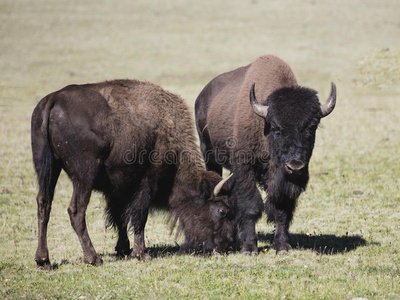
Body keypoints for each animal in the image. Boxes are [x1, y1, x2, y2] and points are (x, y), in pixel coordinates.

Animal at [32, 78, 236, 268]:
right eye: (222, 211)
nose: (226, 247)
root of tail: (53, 99)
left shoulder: (118, 189)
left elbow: (120, 217)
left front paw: (123, 249)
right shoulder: (147, 180)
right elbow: (139, 215)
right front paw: (141, 253)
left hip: (48, 169)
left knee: (44, 204)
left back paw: (43, 260)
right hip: (84, 176)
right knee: (76, 211)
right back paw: (93, 258)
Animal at [195, 55, 336, 254]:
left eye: (312, 126)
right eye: (276, 127)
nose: (295, 166)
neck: (264, 126)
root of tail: (202, 96)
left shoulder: (281, 181)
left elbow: (282, 208)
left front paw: (282, 246)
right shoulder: (244, 169)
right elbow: (250, 205)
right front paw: (249, 247)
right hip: (208, 153)